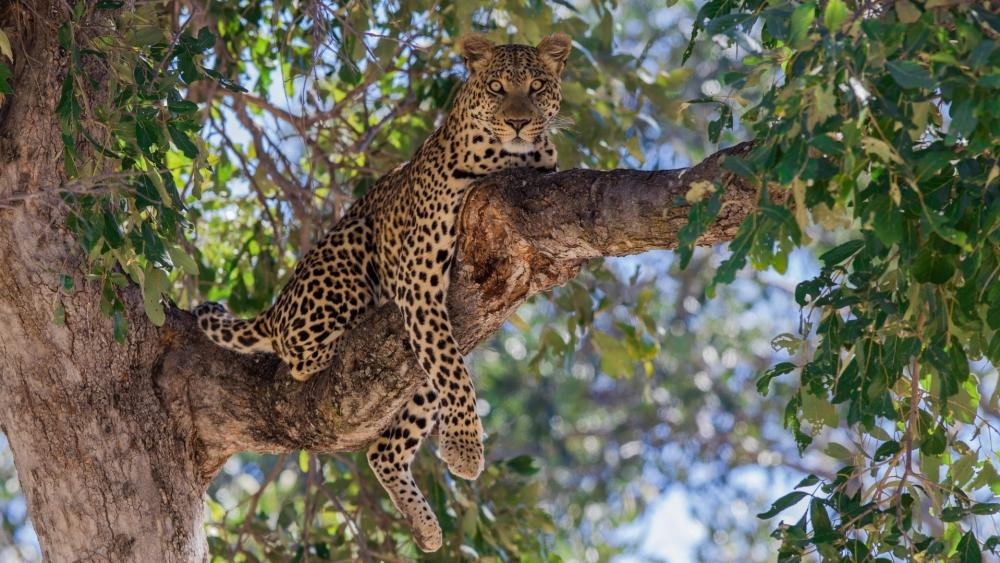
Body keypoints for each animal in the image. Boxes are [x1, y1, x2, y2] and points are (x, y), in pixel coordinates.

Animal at [193, 33, 572, 552]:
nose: (517, 122)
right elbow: (455, 373)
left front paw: (459, 448)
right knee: (302, 356)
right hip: (348, 258)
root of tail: (276, 306)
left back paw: (424, 526)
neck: (512, 158)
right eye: (497, 87)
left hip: (416, 373)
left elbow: (451, 370)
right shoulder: (418, 278)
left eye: (536, 87)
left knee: (385, 448)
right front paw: (465, 449)